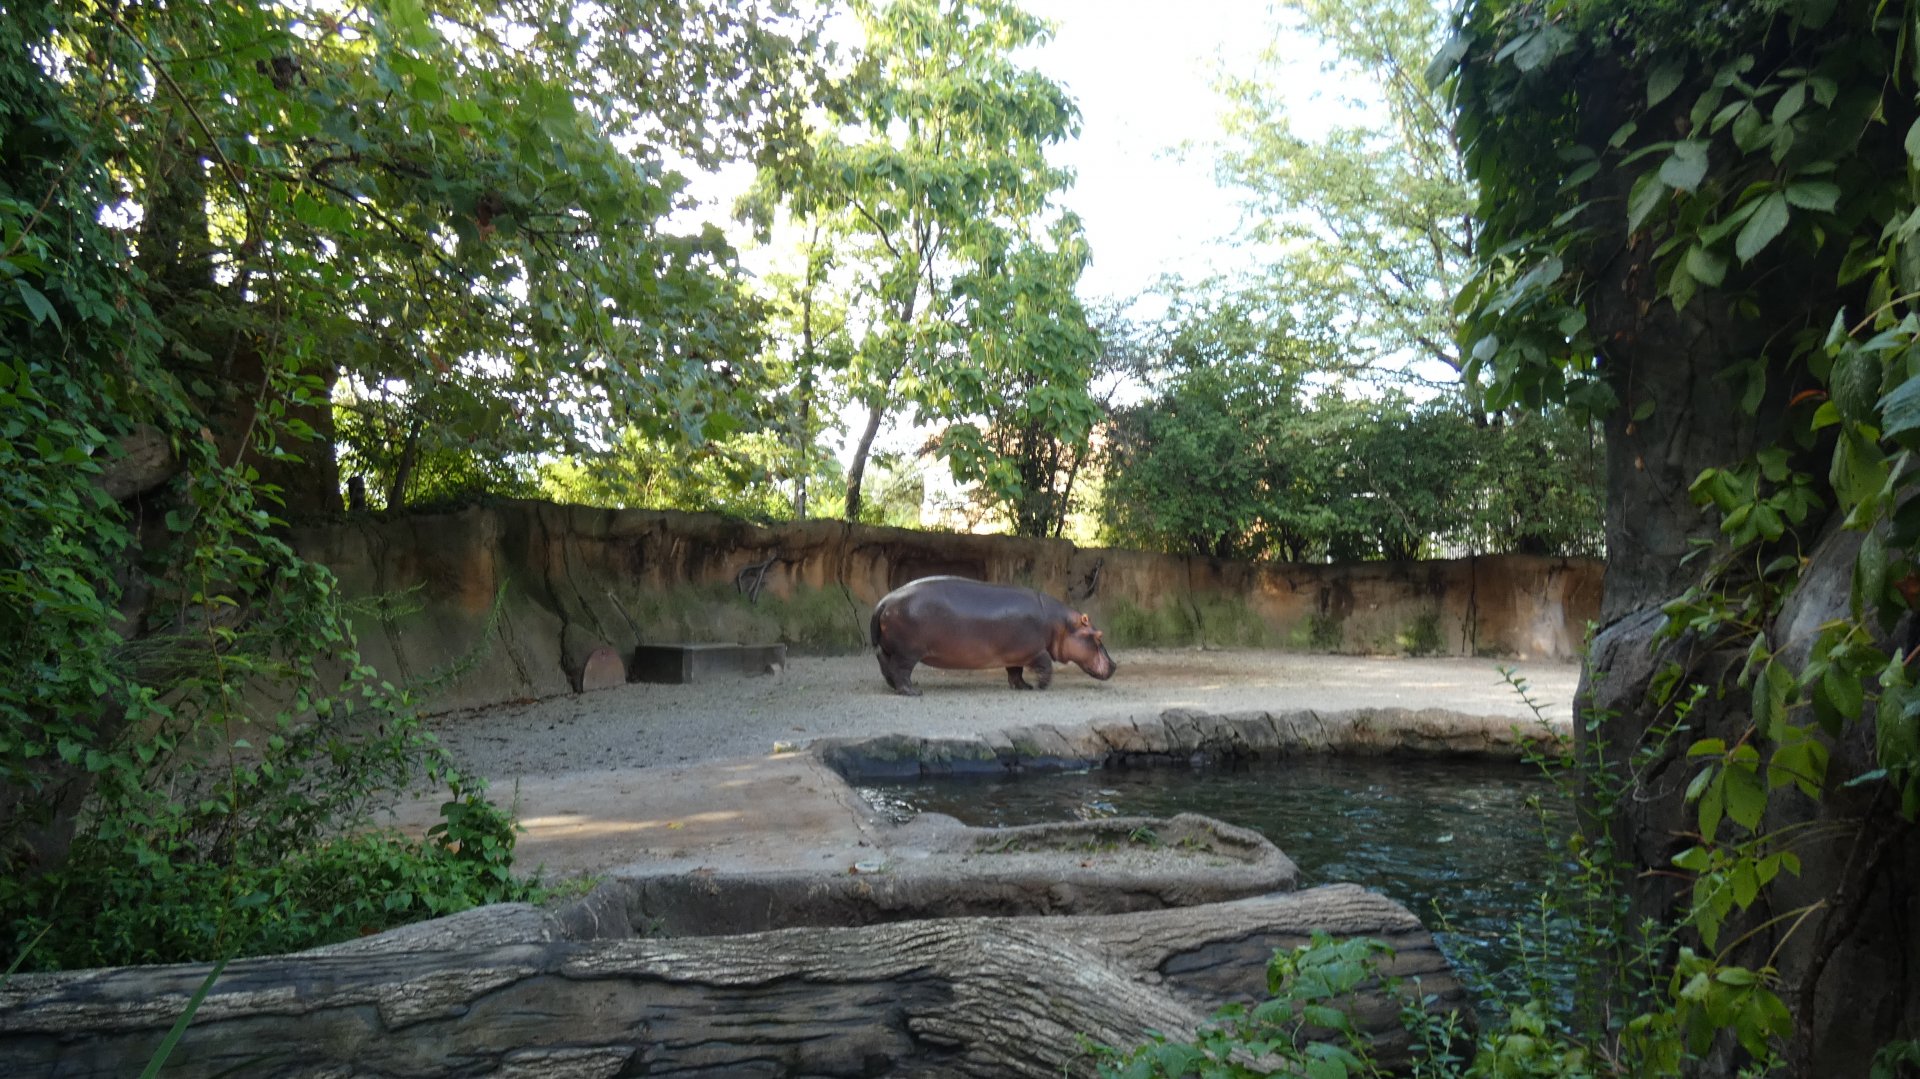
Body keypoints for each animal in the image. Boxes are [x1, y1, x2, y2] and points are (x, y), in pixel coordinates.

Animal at [869, 576, 1117, 696]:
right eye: (1098, 636)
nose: (1114, 665)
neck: (1059, 624)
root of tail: (884, 601)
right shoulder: (1035, 651)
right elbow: (1046, 665)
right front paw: (1041, 687)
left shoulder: (1017, 654)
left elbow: (1015, 673)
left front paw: (1024, 687)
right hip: (908, 652)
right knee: (901, 671)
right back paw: (913, 692)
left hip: (889, 649)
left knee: (886, 666)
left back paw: (895, 687)